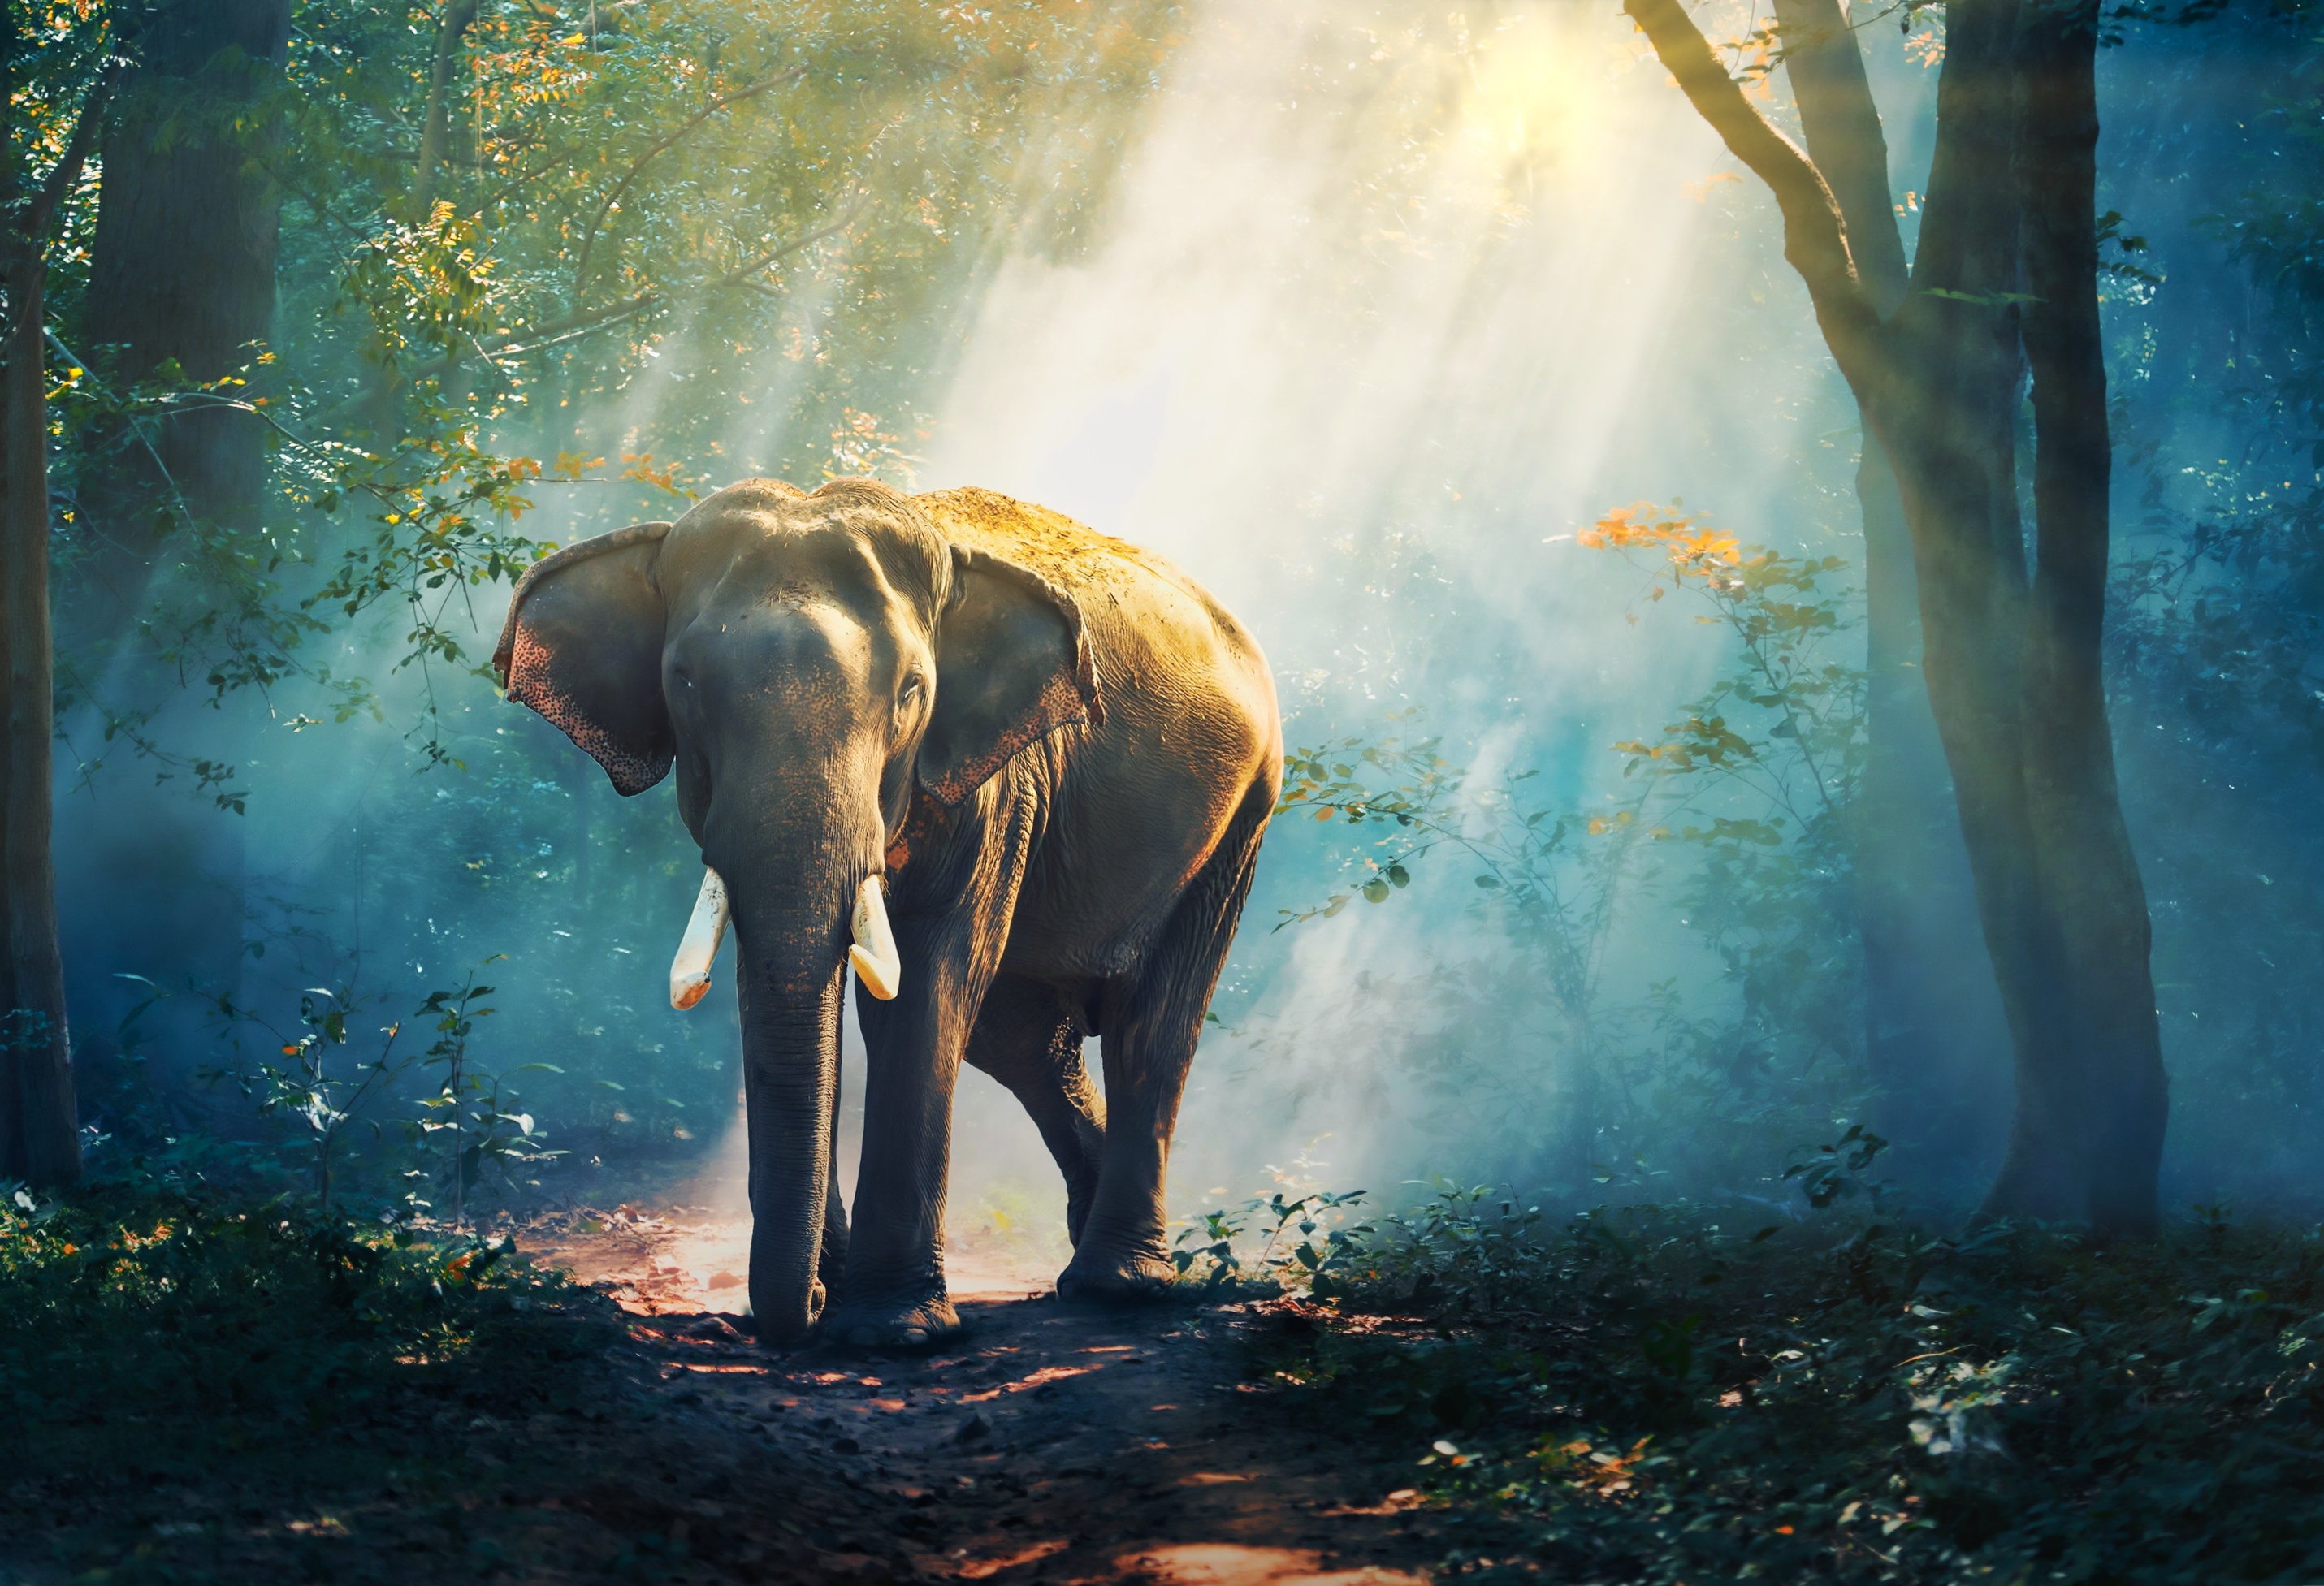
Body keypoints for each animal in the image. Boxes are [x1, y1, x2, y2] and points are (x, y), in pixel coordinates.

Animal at [492, 477, 1281, 1345]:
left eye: (910, 690)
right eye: (686, 682)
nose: (803, 1304)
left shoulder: (996, 785)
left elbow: (927, 989)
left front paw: (892, 1329)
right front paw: (840, 1295)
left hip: (1239, 821)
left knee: (1152, 1026)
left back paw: (1118, 1286)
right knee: (1025, 1039)